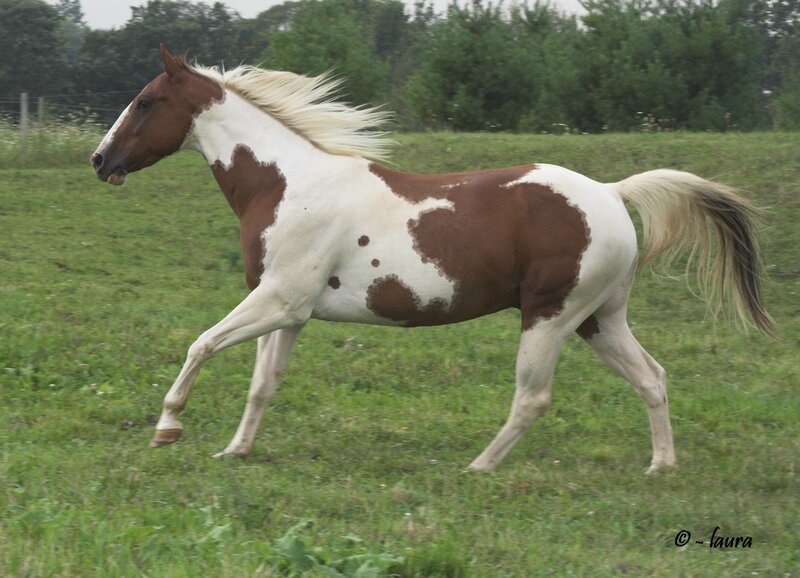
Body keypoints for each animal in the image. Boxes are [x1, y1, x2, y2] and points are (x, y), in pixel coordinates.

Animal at [91, 45, 773, 473]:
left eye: (146, 101)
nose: (101, 160)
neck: (287, 185)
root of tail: (610, 193)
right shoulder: (289, 310)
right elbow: (262, 384)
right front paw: (235, 451)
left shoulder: (278, 299)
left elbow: (201, 344)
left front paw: (168, 427)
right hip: (598, 320)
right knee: (651, 378)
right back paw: (660, 465)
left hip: (549, 317)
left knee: (533, 398)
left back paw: (479, 466)